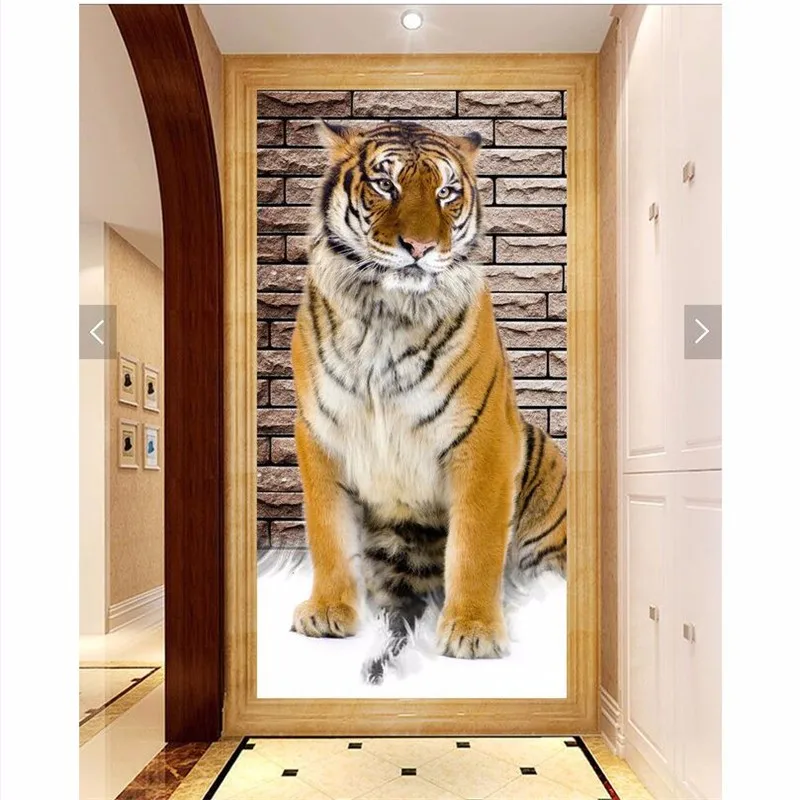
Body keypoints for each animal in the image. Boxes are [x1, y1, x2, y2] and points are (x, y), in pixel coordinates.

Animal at [289, 120, 567, 684]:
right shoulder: (320, 435)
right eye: (385, 186)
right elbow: (328, 533)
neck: (386, 314)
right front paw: (328, 612)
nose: (418, 247)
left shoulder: (483, 442)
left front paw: (474, 632)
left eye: (446, 192)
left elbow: (476, 544)